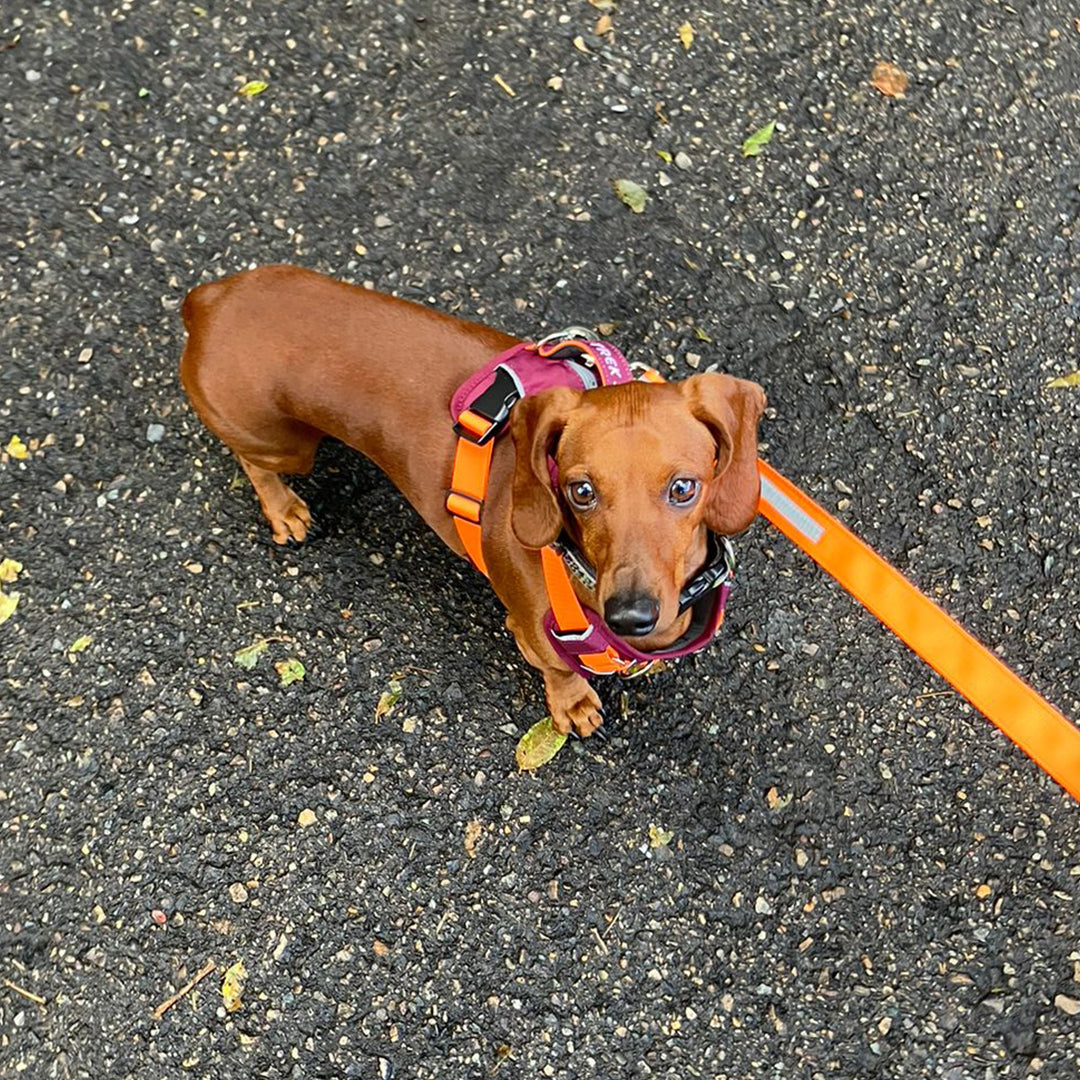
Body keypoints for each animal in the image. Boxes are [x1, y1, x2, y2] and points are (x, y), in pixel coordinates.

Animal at [179, 264, 768, 734]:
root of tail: (208, 299)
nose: (630, 617)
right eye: (580, 491)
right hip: (285, 446)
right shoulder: (532, 632)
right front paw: (573, 705)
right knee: (255, 464)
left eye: (683, 488)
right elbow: (560, 671)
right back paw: (285, 511)